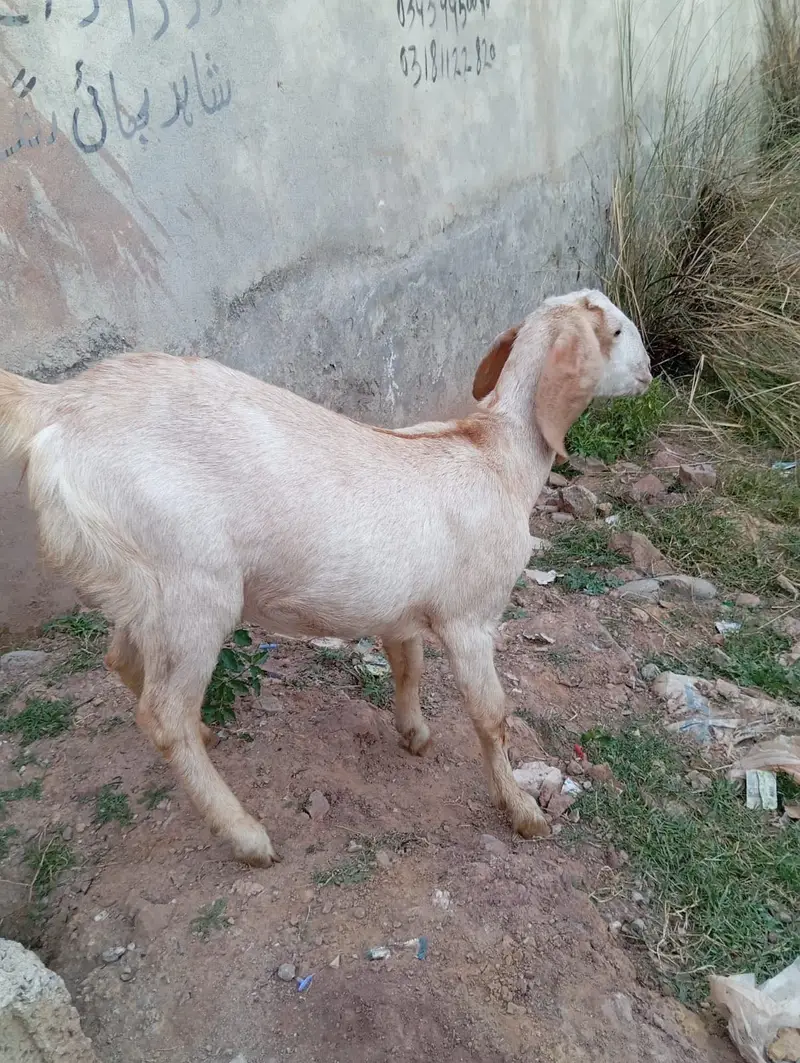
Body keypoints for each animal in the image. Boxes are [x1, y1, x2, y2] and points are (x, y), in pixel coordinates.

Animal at [0, 289, 651, 865]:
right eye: (617, 331)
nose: (649, 373)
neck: (495, 455)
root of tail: (60, 404)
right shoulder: (471, 617)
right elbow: (492, 717)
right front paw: (522, 811)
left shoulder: (400, 608)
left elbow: (408, 666)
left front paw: (414, 734)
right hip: (193, 582)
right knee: (163, 714)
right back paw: (246, 836)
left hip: (140, 580)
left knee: (124, 661)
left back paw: (206, 738)